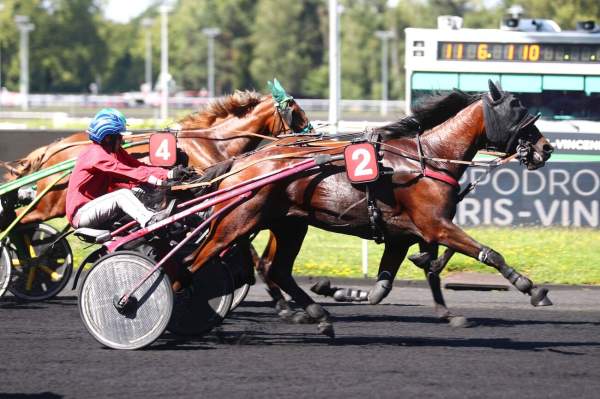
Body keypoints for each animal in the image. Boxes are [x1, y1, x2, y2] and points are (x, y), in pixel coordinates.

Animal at [183, 81, 552, 338]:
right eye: (517, 110)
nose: (546, 147)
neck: (427, 157)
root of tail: (242, 160)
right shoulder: (435, 225)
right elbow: (488, 253)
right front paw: (530, 288)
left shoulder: (405, 234)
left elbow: (392, 284)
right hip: (239, 219)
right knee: (202, 258)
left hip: (289, 224)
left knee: (276, 268)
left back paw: (316, 315)